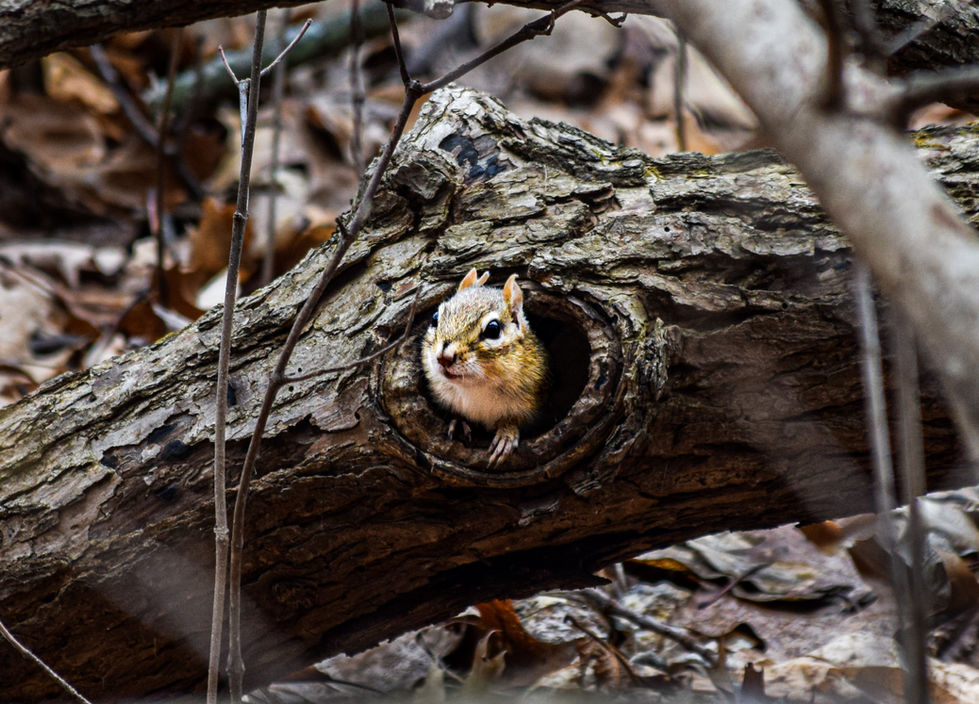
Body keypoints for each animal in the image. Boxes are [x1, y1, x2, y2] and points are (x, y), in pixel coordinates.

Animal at [422, 268, 548, 467]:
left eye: (493, 329)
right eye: (435, 319)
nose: (444, 358)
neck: (476, 386)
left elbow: (516, 420)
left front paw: (506, 433)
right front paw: (459, 422)